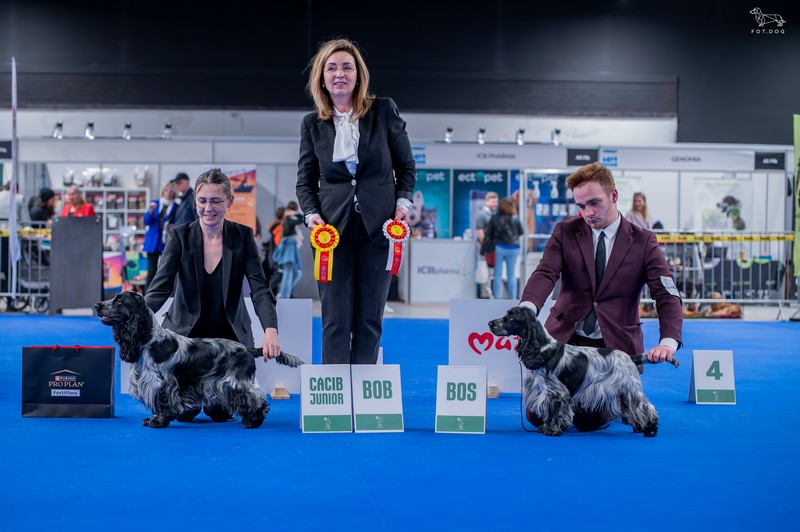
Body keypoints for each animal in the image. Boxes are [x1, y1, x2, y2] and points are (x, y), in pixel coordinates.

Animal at [95, 290, 303, 429]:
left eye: (119, 301)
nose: (97, 305)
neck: (149, 339)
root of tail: (246, 348)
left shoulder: (163, 382)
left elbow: (163, 402)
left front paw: (158, 421)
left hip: (233, 382)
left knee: (255, 398)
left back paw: (253, 421)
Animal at [489, 306, 677, 437]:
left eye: (511, 317)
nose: (490, 323)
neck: (542, 349)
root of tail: (630, 357)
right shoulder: (545, 391)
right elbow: (550, 411)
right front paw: (545, 427)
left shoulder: (557, 392)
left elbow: (556, 411)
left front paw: (553, 430)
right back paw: (639, 426)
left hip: (628, 388)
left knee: (646, 407)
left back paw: (650, 429)